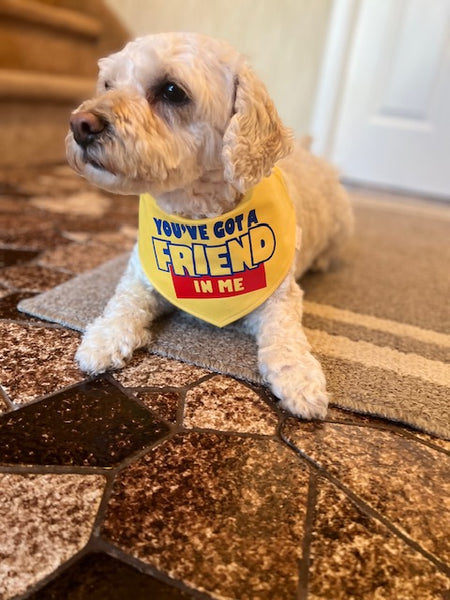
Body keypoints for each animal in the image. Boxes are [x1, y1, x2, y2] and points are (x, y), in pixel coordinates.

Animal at [67, 31, 356, 418]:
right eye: (108, 84)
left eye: (172, 91)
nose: (80, 124)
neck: (197, 219)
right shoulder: (143, 275)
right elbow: (122, 304)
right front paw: (103, 338)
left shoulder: (280, 297)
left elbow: (285, 336)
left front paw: (300, 377)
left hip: (342, 222)